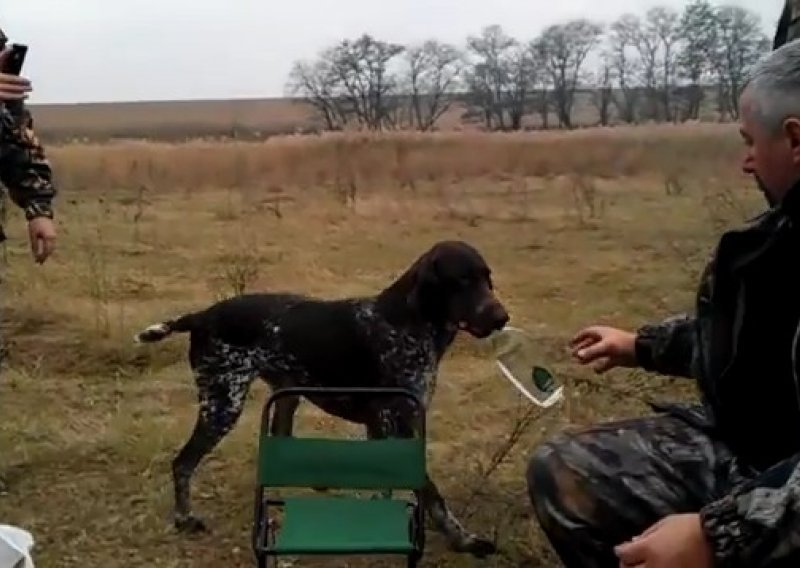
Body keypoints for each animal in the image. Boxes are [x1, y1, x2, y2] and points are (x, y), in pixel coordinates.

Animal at [134, 240, 510, 560]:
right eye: (461, 280)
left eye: (487, 278)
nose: (502, 317)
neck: (408, 322)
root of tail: (201, 315)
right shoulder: (398, 424)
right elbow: (432, 494)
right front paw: (464, 540)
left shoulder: (386, 426)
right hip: (223, 403)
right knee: (182, 463)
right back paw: (185, 519)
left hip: (283, 396)